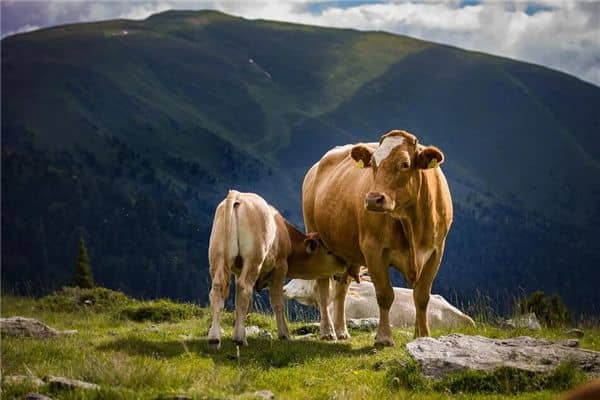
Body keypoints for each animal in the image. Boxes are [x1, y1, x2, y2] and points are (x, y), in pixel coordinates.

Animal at [209, 189, 344, 348]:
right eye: (329, 251)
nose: (344, 262)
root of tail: (238, 195)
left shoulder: (238, 269)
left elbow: (244, 304)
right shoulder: (280, 267)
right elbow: (277, 302)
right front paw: (284, 334)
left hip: (217, 256)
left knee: (218, 289)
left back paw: (214, 338)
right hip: (253, 259)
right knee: (244, 288)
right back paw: (240, 339)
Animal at [304, 130, 450, 346]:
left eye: (405, 164)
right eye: (372, 163)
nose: (373, 199)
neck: (411, 224)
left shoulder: (436, 251)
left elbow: (422, 296)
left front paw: (422, 336)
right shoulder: (373, 249)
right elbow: (384, 294)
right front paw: (383, 337)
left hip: (347, 252)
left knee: (341, 288)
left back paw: (341, 330)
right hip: (317, 238)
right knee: (323, 288)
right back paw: (328, 331)